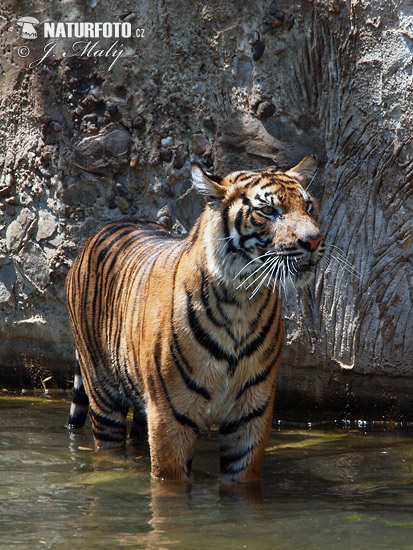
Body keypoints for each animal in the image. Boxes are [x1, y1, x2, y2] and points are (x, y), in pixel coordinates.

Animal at [64, 155, 324, 484]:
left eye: (308, 207)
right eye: (268, 210)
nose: (313, 241)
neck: (242, 302)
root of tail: (102, 230)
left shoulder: (251, 415)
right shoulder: (169, 416)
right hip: (104, 394)